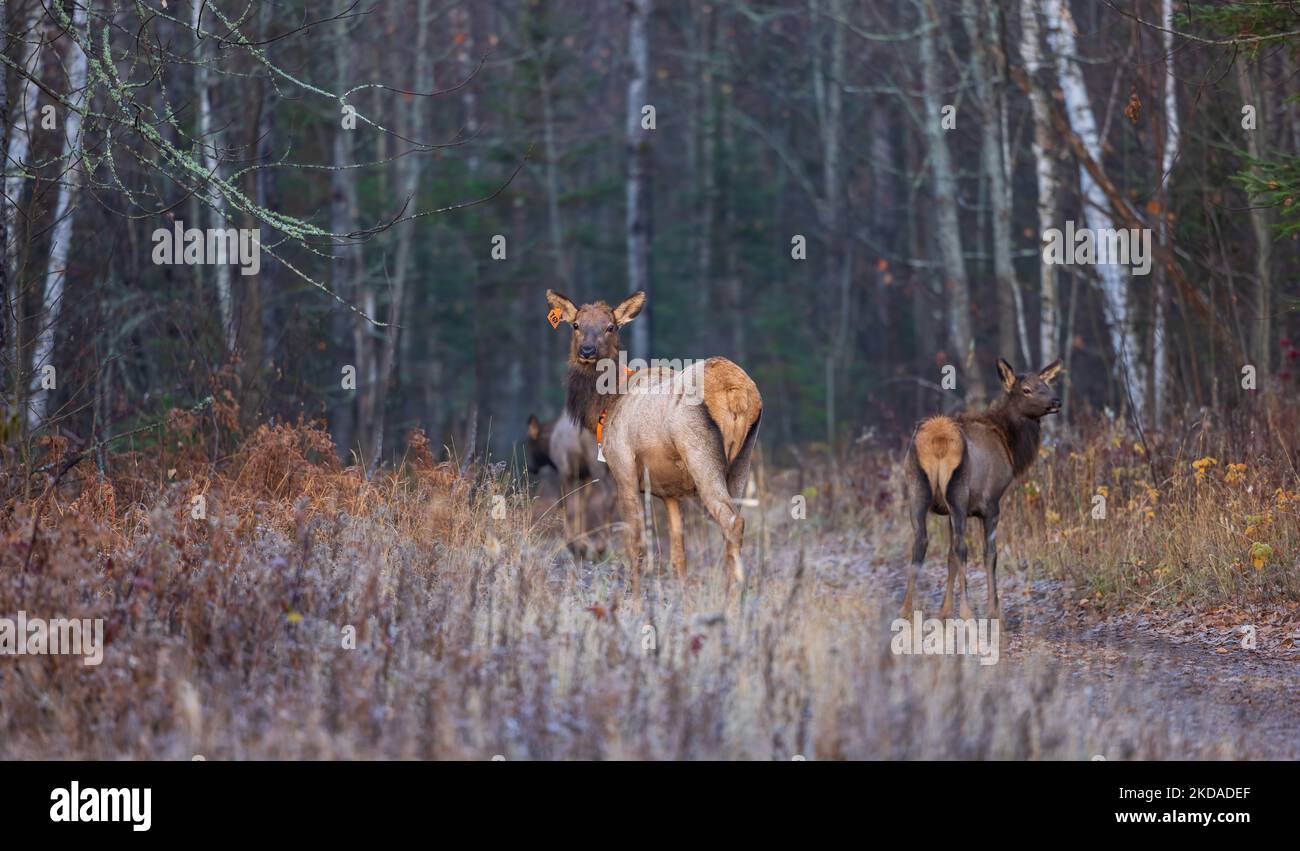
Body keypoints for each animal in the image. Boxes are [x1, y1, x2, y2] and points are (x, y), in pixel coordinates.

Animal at [544, 289, 762, 589]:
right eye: (576, 325)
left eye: (611, 327)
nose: (586, 351)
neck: (605, 405)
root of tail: (737, 392)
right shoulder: (669, 492)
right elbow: (678, 553)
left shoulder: (623, 469)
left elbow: (635, 542)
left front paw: (633, 594)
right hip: (742, 461)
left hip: (701, 455)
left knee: (731, 520)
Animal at [901, 358, 1062, 622]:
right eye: (1026, 389)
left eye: (1046, 384)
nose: (1056, 401)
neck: (1010, 448)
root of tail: (938, 439)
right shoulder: (990, 503)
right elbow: (990, 555)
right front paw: (994, 610)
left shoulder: (949, 511)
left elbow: (949, 557)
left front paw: (944, 611)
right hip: (958, 492)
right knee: (962, 548)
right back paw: (967, 612)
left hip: (917, 489)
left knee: (921, 542)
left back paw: (905, 609)